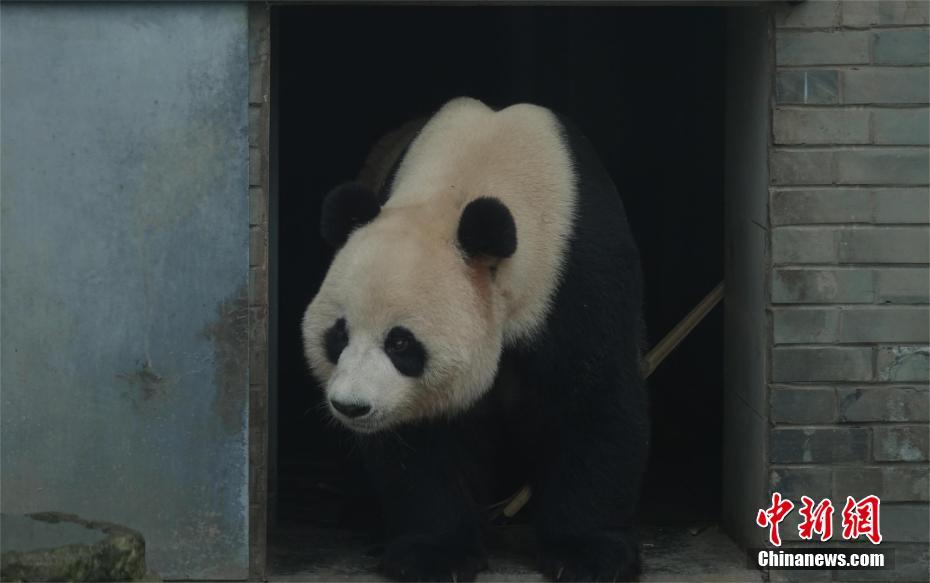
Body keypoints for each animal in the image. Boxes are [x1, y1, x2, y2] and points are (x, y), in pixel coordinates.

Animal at [302, 98, 644, 580]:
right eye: (338, 334)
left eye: (400, 344)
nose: (352, 406)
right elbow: (422, 438)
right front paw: (434, 554)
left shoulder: (578, 272)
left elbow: (596, 401)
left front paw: (587, 552)